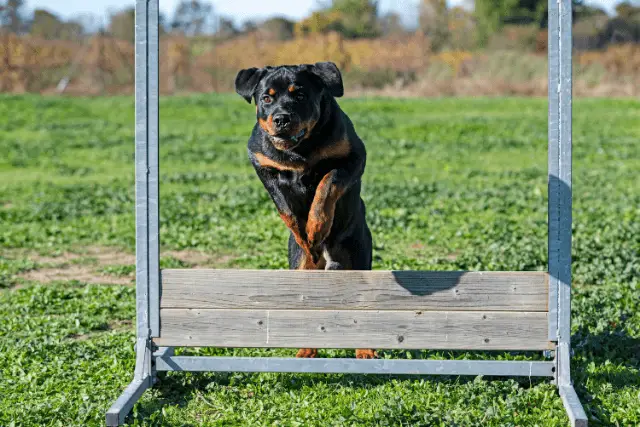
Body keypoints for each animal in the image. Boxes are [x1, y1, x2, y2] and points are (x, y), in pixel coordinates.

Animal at [235, 61, 376, 360]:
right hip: (301, 268)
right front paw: (304, 236)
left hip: (359, 256)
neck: (300, 151)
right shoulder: (263, 166)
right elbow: (285, 208)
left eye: (299, 95)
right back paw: (306, 350)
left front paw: (316, 228)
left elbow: (326, 185)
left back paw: (365, 351)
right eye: (266, 98)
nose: (281, 118)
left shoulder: (353, 157)